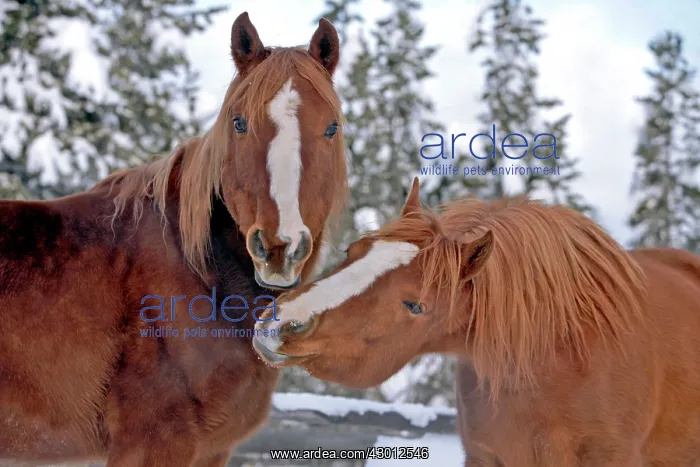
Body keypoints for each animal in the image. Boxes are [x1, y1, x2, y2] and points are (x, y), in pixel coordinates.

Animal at [0, 11, 347, 466]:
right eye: (239, 123)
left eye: (331, 128)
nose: (279, 247)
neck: (200, 277)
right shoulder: (152, 444)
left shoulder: (212, 451)